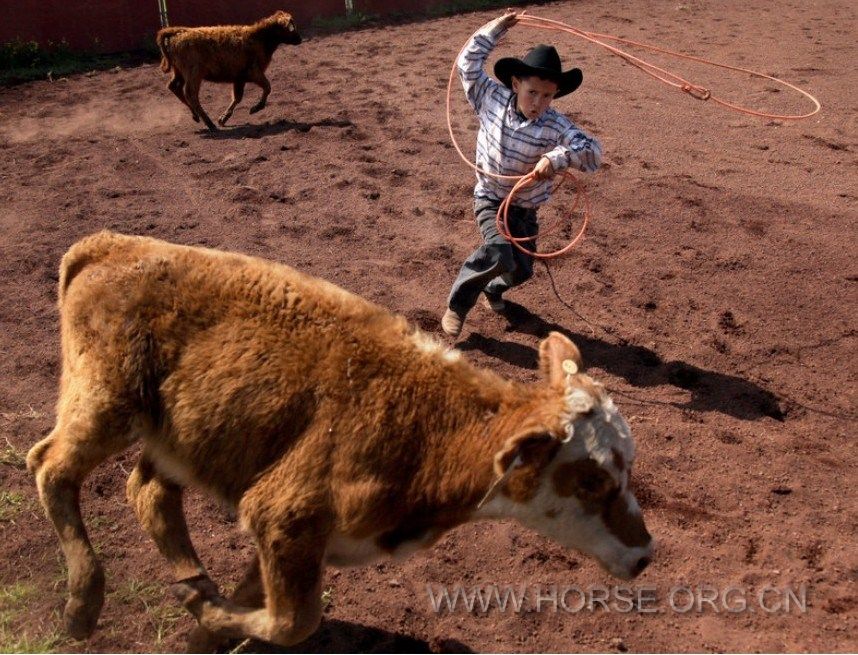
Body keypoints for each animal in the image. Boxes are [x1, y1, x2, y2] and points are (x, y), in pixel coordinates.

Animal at [30, 233, 652, 648]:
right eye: (591, 480)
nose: (645, 556)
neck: (432, 430)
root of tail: (108, 245)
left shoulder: (293, 535)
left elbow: (262, 600)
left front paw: (207, 624)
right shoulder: (284, 513)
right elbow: (295, 622)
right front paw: (209, 614)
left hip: (180, 433)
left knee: (148, 492)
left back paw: (191, 578)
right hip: (105, 402)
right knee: (49, 465)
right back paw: (83, 603)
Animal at [156, 10, 300, 131]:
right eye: (291, 27)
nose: (300, 39)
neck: (259, 37)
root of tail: (178, 34)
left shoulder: (239, 78)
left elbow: (237, 98)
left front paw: (223, 118)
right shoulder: (254, 72)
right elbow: (267, 87)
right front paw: (255, 108)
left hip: (179, 72)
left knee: (175, 87)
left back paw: (196, 117)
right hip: (194, 74)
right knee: (191, 94)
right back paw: (209, 124)